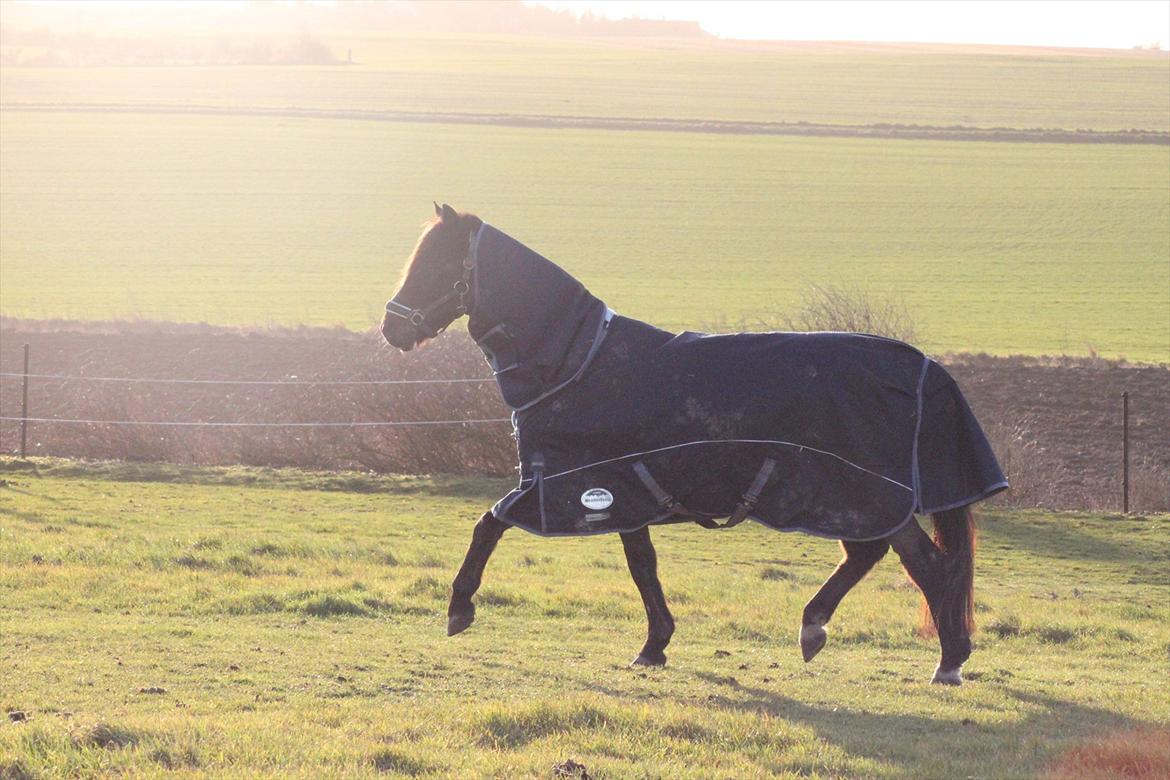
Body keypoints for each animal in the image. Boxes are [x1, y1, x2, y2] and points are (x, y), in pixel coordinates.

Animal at [380, 203, 1007, 685]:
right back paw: (822, 629)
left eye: (436, 263)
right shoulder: (623, 489)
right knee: (878, 554)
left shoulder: (565, 484)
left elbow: (488, 524)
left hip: (863, 493)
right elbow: (643, 566)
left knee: (924, 563)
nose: (392, 329)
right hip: (861, 499)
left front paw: (459, 608)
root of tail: (925, 366)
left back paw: (947, 661)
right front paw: (654, 645)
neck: (577, 366)